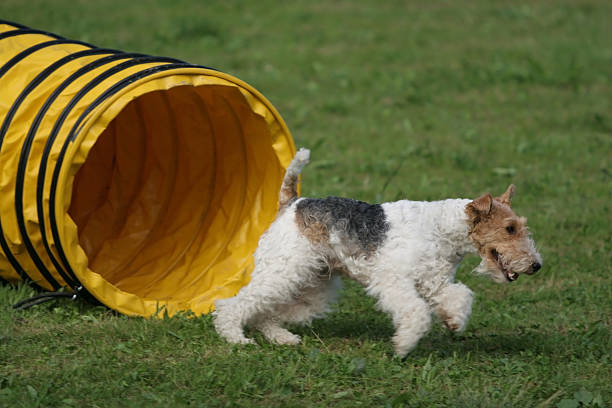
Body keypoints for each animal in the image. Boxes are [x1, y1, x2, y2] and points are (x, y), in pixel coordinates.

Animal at [213, 148, 544, 356]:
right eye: (510, 228)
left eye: (520, 226)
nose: (535, 265)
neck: (442, 227)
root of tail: (294, 202)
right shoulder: (393, 280)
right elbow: (416, 312)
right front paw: (403, 345)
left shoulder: (435, 282)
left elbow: (459, 296)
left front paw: (454, 321)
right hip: (283, 270)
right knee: (234, 304)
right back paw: (236, 338)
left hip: (313, 286)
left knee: (265, 311)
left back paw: (282, 338)